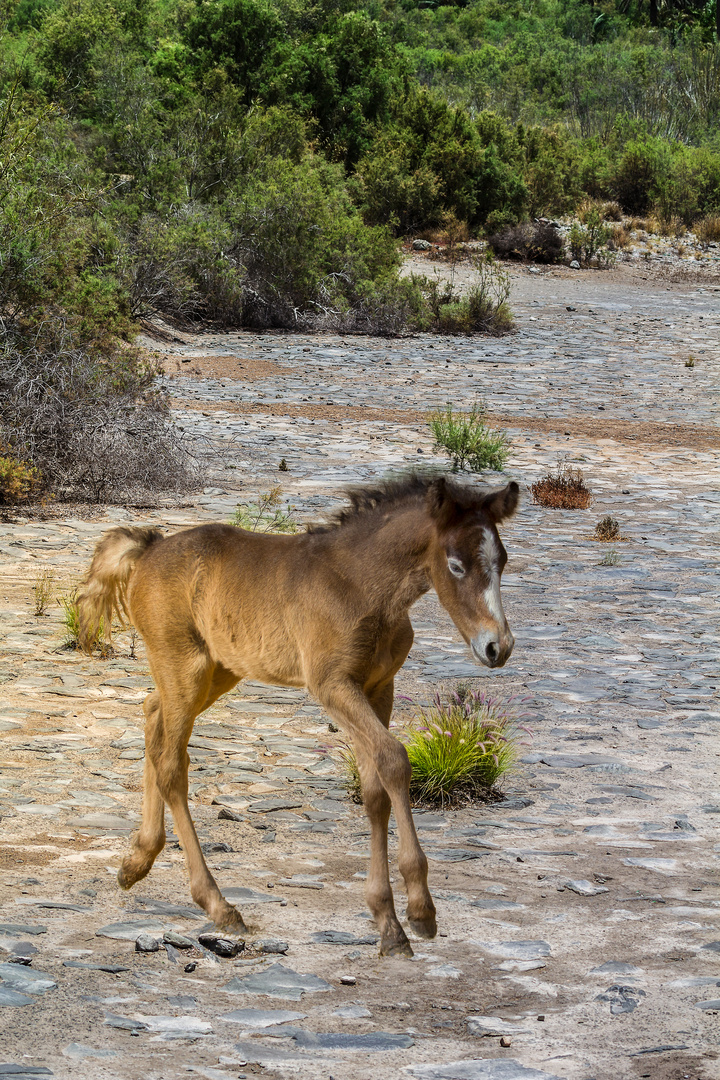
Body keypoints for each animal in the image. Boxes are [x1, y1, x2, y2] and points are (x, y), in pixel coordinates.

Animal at [78, 473, 518, 954]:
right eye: (455, 565)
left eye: (503, 561)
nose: (497, 647)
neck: (360, 585)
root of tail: (150, 548)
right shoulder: (333, 685)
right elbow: (395, 761)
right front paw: (420, 911)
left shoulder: (378, 688)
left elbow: (375, 790)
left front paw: (387, 921)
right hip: (184, 666)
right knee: (171, 762)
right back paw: (218, 904)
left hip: (218, 670)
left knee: (153, 716)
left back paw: (136, 862)